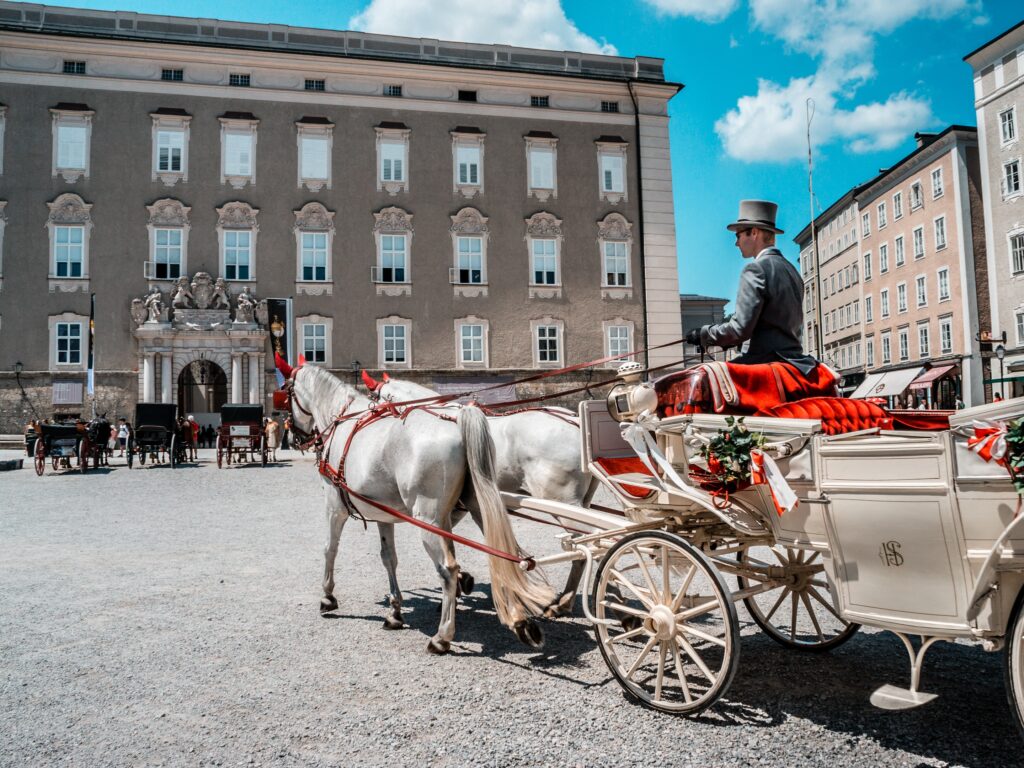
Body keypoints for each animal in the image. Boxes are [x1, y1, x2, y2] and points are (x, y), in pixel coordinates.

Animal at [368, 374, 598, 618]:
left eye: (373, 402)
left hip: (564, 503)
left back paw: (566, 601)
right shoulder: (458, 507)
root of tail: (576, 423)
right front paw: (460, 583)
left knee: (587, 545)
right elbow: (451, 542)